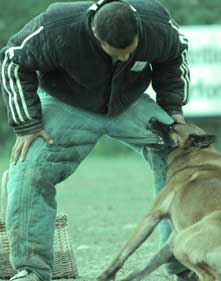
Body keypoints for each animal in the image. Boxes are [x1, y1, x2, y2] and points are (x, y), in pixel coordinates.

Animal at [97, 123, 221, 280]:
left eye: (171, 127)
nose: (151, 120)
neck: (192, 155)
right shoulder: (171, 240)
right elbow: (145, 266)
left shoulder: (151, 216)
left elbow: (123, 253)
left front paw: (105, 275)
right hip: (179, 242)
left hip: (182, 243)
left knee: (210, 276)